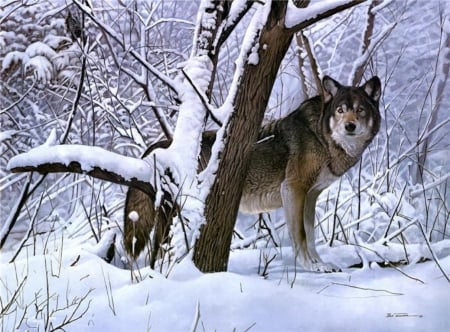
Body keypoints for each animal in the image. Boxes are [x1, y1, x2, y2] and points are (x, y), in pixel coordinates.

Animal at [124, 76, 384, 272]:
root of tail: (163, 145)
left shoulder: (310, 197)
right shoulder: (293, 190)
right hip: (175, 214)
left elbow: (311, 235)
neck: (321, 136)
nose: (350, 126)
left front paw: (321, 263)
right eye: (340, 110)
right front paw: (311, 267)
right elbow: (300, 235)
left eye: (360, 110)